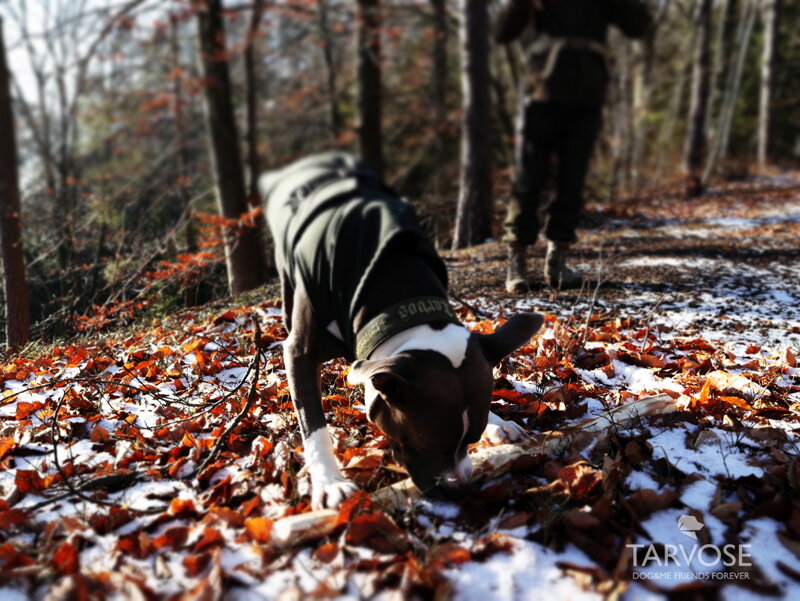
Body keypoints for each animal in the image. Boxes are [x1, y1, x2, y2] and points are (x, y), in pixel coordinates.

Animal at [262, 154, 544, 506]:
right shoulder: (300, 351)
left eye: (473, 439)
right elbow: (312, 420)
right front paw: (330, 482)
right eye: (427, 445)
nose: (460, 489)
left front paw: (497, 422)